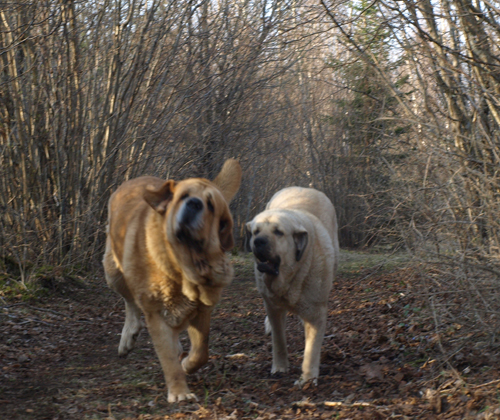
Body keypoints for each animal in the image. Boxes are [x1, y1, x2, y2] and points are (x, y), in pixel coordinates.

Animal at [102, 159, 241, 402]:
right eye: (183, 196)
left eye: (210, 205)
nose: (194, 204)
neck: (181, 268)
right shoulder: (156, 313)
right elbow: (167, 359)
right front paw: (179, 392)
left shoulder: (201, 310)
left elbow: (201, 351)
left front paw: (187, 364)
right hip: (113, 272)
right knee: (130, 302)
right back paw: (129, 335)